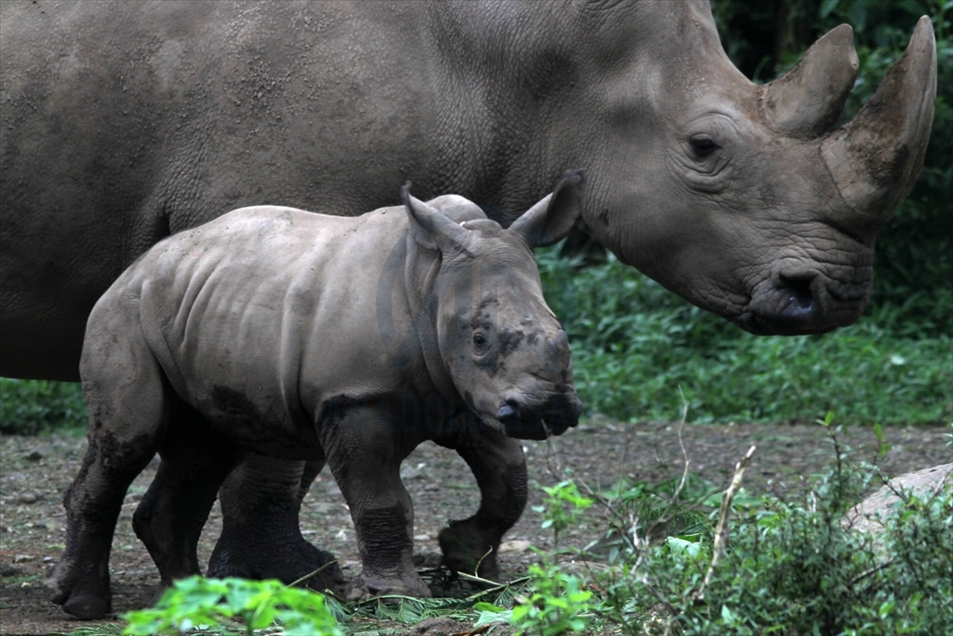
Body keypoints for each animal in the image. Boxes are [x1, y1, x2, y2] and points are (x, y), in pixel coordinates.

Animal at [50, 173, 588, 616]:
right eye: (478, 339)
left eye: (562, 332)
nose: (548, 409)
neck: (431, 282)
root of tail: (132, 268)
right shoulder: (355, 398)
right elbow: (381, 499)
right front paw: (398, 597)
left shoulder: (469, 399)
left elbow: (510, 481)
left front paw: (467, 561)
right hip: (123, 314)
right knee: (128, 442)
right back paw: (84, 605)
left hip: (194, 311)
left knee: (203, 450)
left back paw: (191, 602)